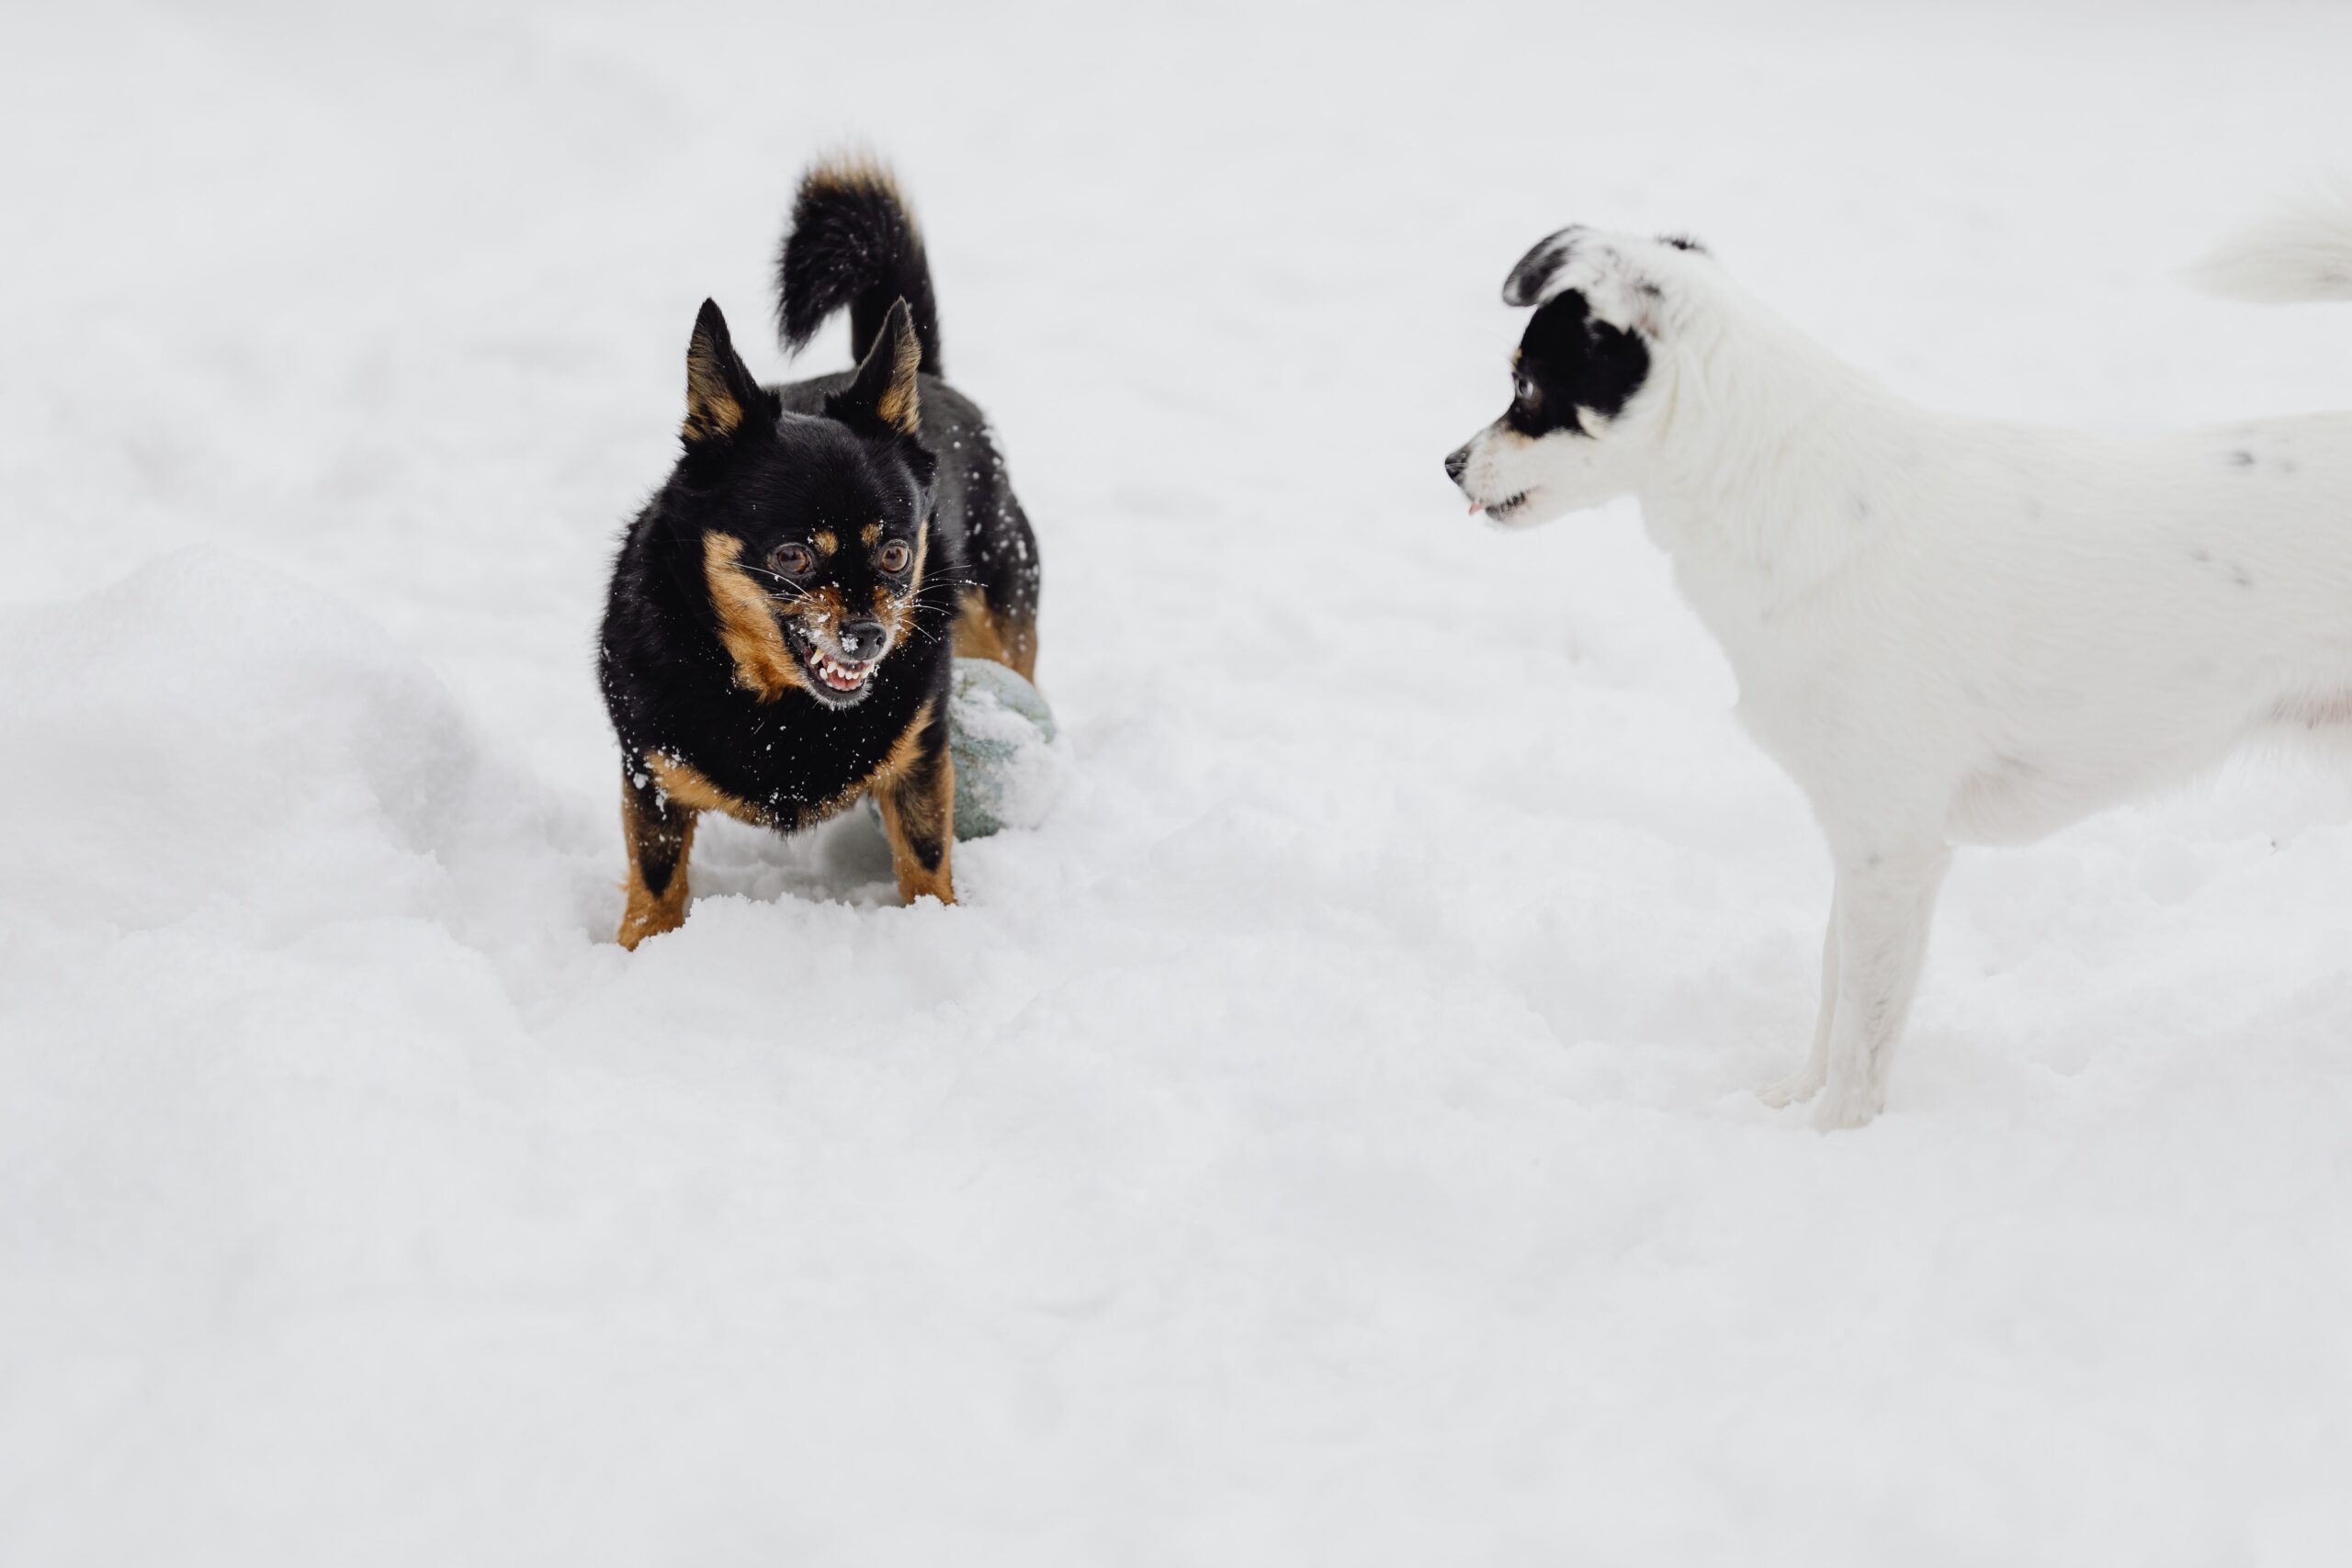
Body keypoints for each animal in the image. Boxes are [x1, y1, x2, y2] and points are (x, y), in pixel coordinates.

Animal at [602, 156, 1044, 944]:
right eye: (793, 558)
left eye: (896, 554)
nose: (868, 635)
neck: (781, 705)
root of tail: (930, 377)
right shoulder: (649, 775)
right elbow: (655, 884)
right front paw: (639, 953)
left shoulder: (921, 759)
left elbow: (926, 861)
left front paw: (937, 934)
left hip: (1004, 616)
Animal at [1439, 192, 2352, 1128]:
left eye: (1526, 386)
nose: (1449, 465)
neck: (1772, 489)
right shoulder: (1859, 841)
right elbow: (1833, 987)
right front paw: (1793, 1107)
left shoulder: (1891, 847)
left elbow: (1860, 1032)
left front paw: (1833, 1134)